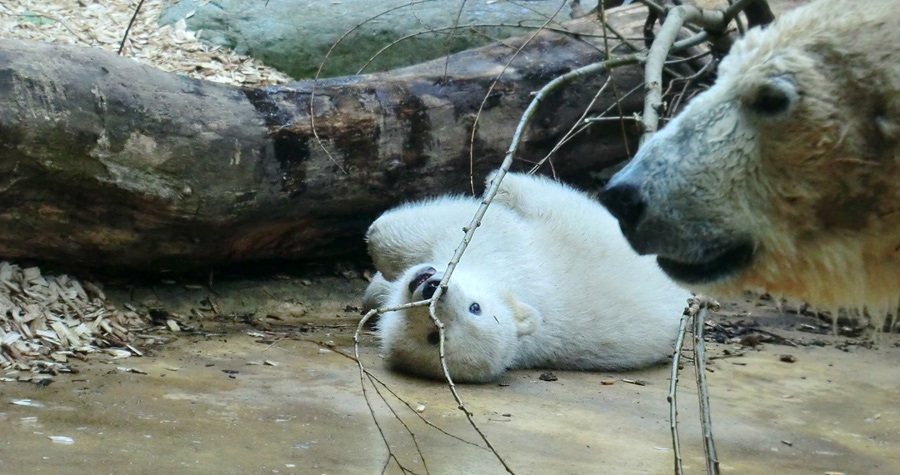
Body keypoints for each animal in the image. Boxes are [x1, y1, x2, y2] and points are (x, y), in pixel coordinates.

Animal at [366, 171, 688, 384]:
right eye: (476, 306)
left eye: (435, 337)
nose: (433, 288)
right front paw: (378, 289)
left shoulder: (501, 251)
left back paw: (502, 182)